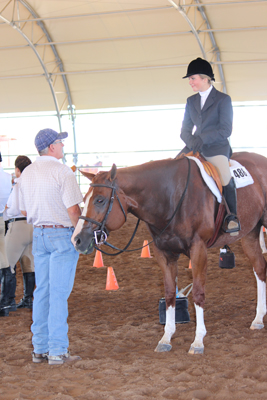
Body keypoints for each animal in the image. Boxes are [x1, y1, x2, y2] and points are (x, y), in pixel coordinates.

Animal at [72, 152, 267, 354]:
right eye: (85, 199)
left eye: (100, 200)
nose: (77, 240)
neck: (170, 197)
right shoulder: (164, 253)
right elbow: (169, 293)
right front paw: (166, 338)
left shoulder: (198, 249)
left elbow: (198, 293)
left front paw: (198, 341)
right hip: (250, 235)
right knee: (260, 269)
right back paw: (258, 319)